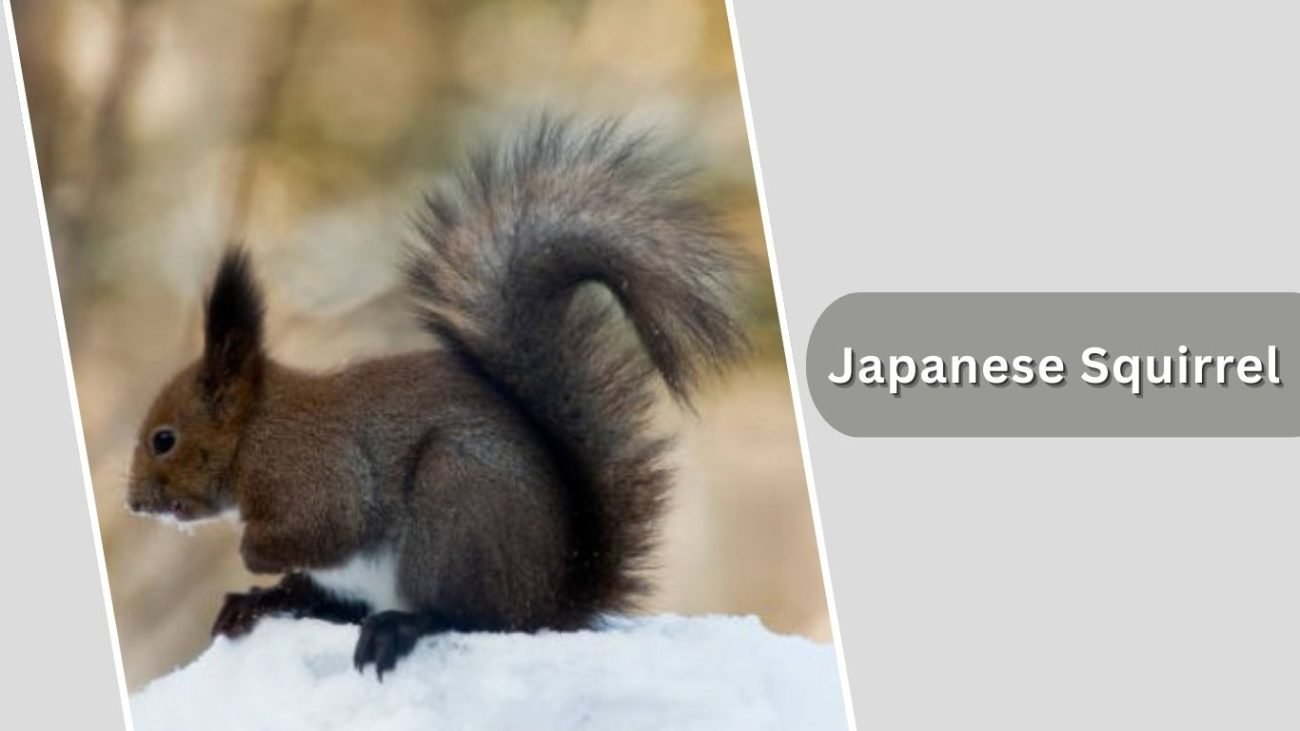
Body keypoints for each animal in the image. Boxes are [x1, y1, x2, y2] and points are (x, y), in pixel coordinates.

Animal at [126, 117, 748, 678]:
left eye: (164, 439)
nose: (134, 503)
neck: (254, 431)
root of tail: (548, 600)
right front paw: (262, 585)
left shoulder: (311, 473)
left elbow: (330, 527)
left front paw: (252, 554)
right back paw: (269, 601)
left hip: (454, 507)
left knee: (466, 616)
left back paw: (401, 624)